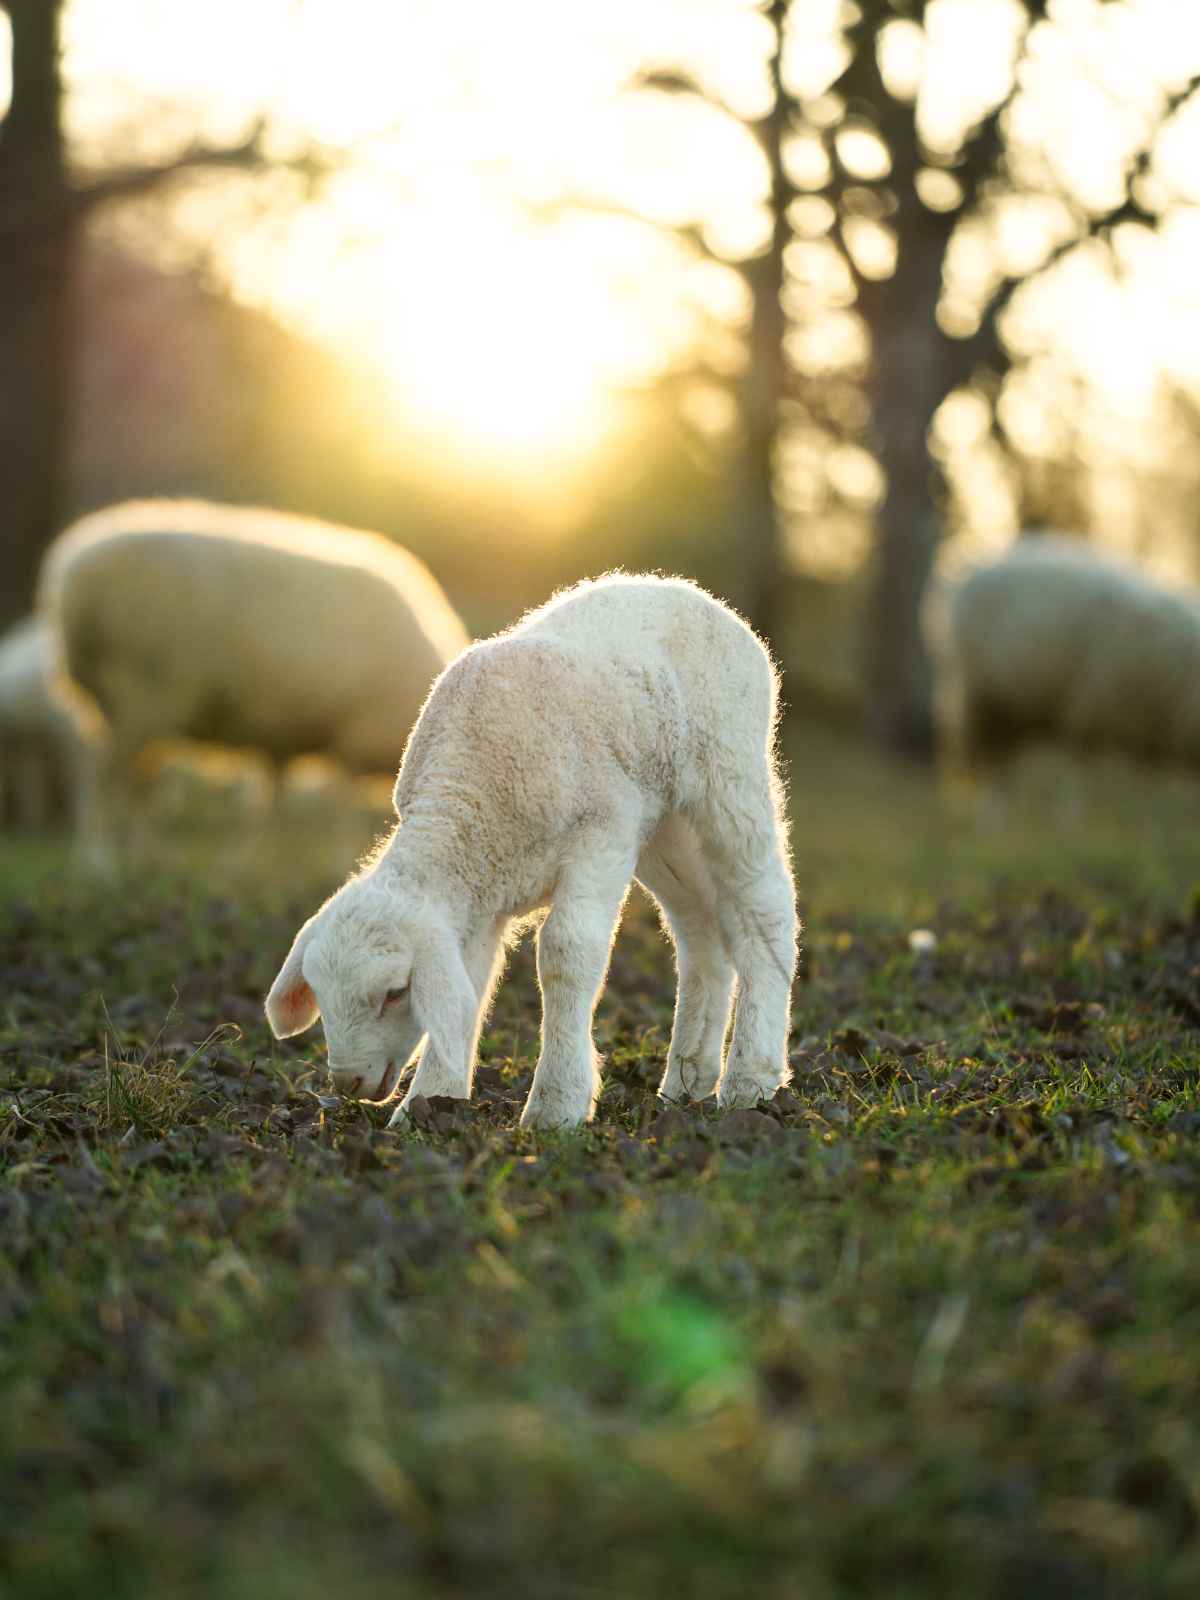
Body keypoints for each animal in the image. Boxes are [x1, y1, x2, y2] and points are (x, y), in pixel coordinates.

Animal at [37, 500, 470, 860]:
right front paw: (337, 854)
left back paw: (150, 856)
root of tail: (74, 575)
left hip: (132, 705)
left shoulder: (286, 737)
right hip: (143, 692)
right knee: (101, 775)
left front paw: (256, 859)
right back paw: (98, 860)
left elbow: (269, 799)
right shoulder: (352, 736)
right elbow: (338, 804)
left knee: (138, 784)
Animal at [265, 574, 797, 1129]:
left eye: (394, 993)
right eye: (320, 994)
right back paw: (687, 1081)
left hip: (729, 778)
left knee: (764, 911)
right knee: (701, 933)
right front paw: (429, 1104)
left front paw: (556, 1106)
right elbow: (471, 984)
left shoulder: (601, 835)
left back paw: (750, 1080)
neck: (469, 805)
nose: (347, 1084)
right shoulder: (478, 898)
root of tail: (681, 587)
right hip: (664, 826)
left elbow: (566, 953)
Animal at [936, 534, 1200, 795]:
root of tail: (977, 570)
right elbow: (1077, 785)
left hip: (1015, 715)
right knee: (994, 778)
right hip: (984, 703)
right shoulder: (1088, 717)